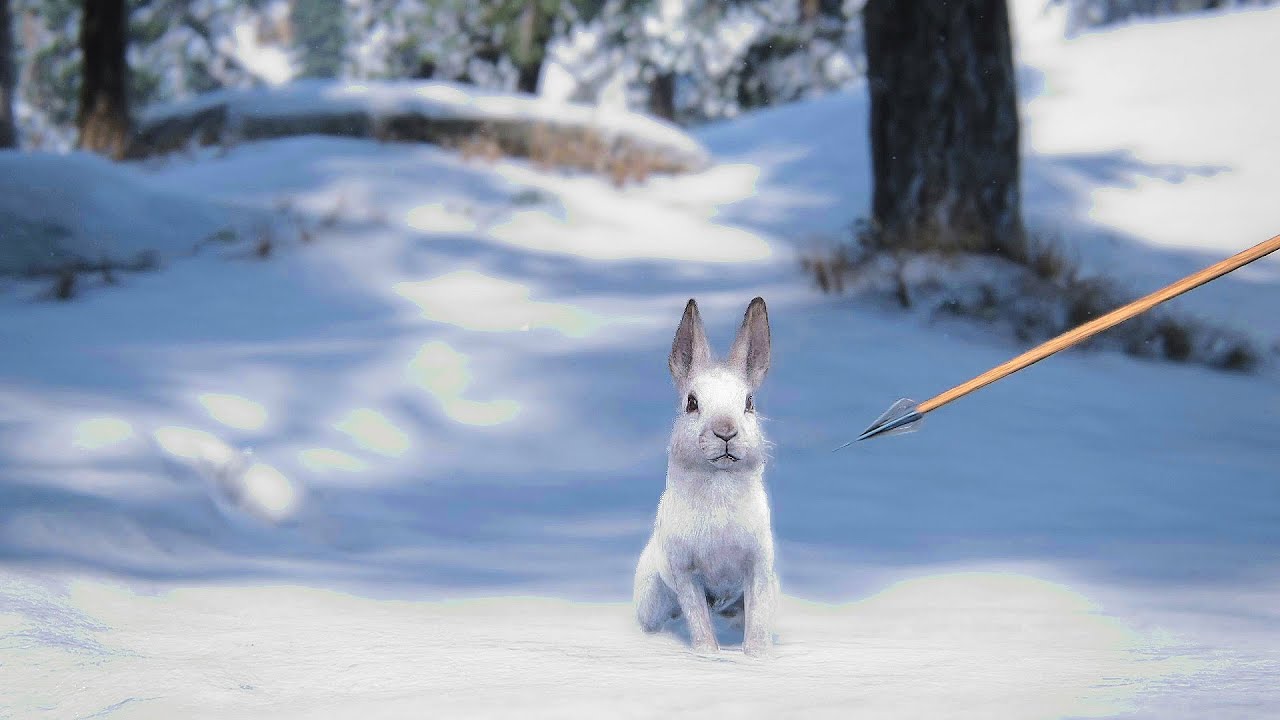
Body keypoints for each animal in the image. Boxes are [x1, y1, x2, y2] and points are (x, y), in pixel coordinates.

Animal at [633, 296, 778, 657]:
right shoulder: (685, 572)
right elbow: (698, 619)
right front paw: (708, 656)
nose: (725, 432)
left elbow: (756, 620)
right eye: (692, 402)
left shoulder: (757, 567)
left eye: (749, 403)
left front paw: (756, 655)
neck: (719, 484)